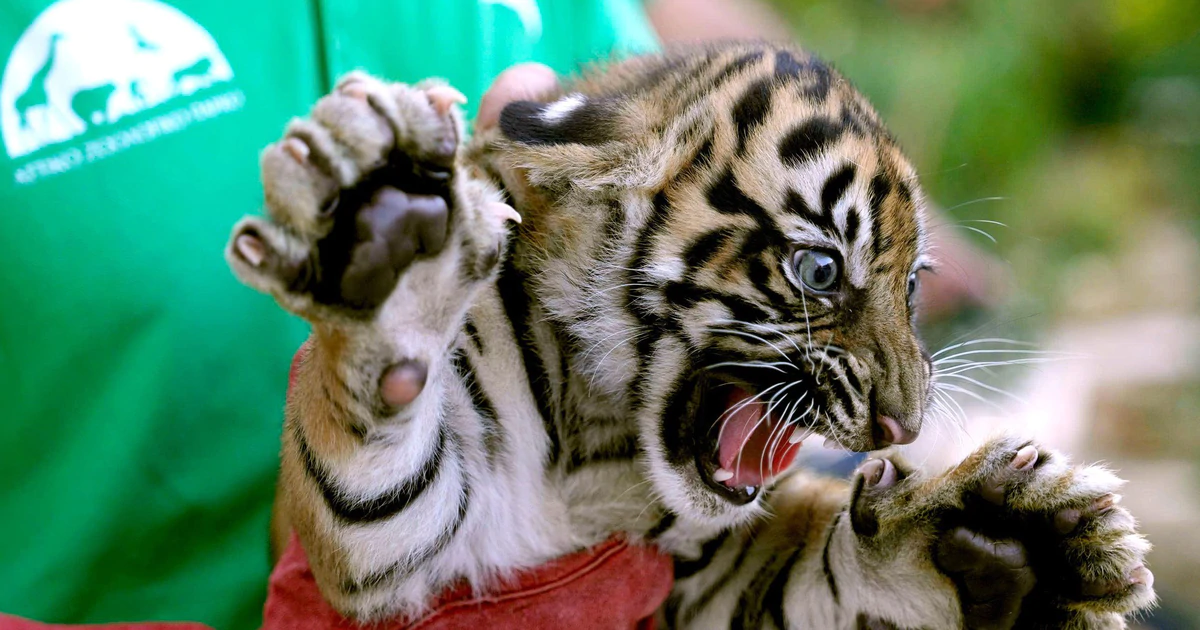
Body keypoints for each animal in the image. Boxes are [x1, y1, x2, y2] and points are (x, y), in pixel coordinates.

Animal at [226, 43, 1155, 628]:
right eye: (820, 269)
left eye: (915, 284)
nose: (905, 427)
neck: (597, 446)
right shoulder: (385, 544)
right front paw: (386, 223)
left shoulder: (709, 580)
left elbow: (833, 576)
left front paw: (1016, 544)